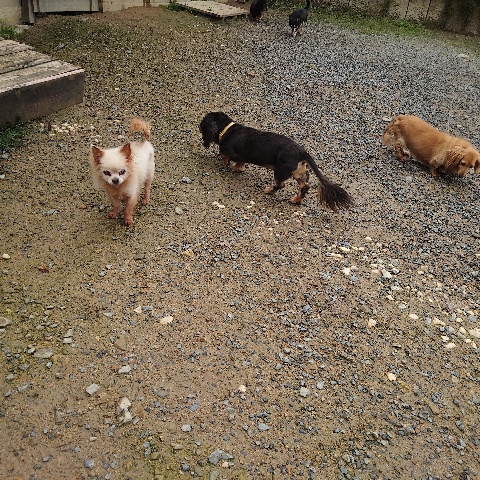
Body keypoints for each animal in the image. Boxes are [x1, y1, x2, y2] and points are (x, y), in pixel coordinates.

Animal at [199, 112, 352, 211]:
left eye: (202, 126)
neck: (227, 129)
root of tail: (302, 152)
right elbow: (240, 163)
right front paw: (238, 168)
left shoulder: (227, 152)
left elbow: (225, 158)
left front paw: (227, 166)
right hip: (299, 173)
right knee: (304, 186)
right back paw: (296, 200)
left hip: (280, 171)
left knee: (281, 185)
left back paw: (268, 190)